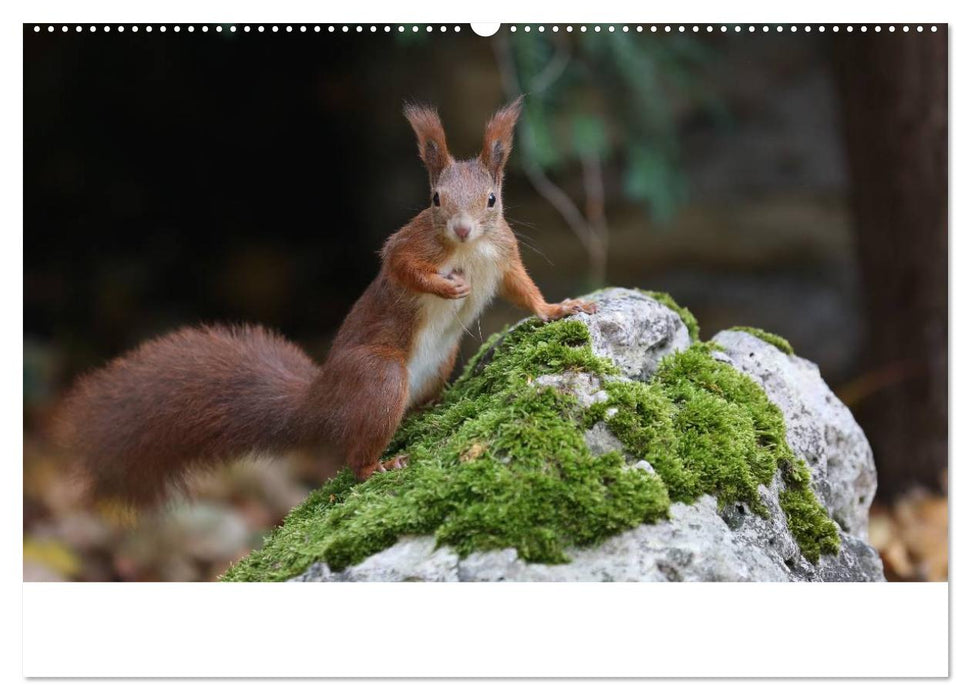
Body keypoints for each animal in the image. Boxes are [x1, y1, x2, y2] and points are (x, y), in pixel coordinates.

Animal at [60, 95, 596, 506]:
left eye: (491, 200)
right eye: (436, 200)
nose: (462, 228)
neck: (468, 249)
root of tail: (321, 403)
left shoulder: (504, 256)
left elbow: (524, 290)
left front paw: (560, 309)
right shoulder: (408, 246)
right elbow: (402, 268)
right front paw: (447, 288)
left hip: (440, 361)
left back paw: (432, 408)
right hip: (379, 377)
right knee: (356, 456)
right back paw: (380, 465)